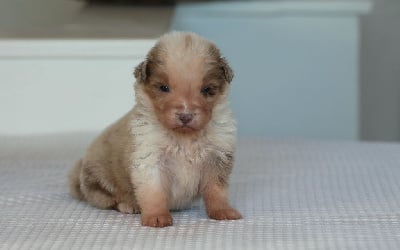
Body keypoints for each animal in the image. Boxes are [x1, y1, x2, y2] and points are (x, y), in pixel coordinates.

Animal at [69, 30, 241, 227]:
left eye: (207, 89)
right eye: (164, 88)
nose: (185, 116)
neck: (184, 137)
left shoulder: (217, 158)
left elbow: (216, 190)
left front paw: (223, 211)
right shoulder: (149, 159)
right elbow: (154, 192)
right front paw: (157, 217)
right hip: (98, 180)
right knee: (111, 199)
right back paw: (129, 205)